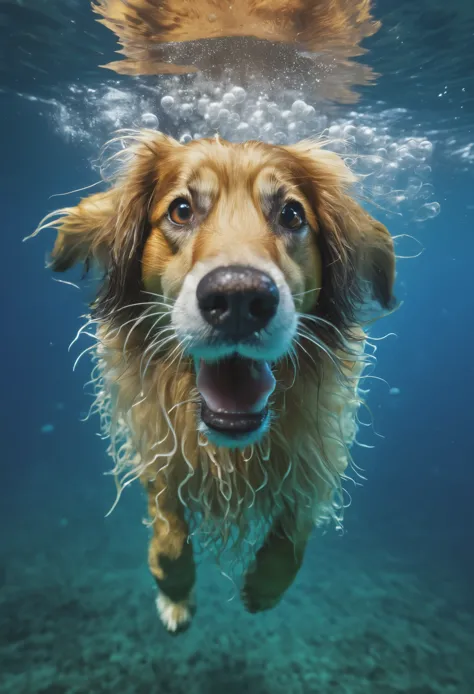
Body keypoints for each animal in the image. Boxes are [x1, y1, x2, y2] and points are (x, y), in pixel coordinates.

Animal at [34, 132, 396, 636]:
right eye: (181, 210)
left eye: (291, 214)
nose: (239, 298)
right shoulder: (156, 443)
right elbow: (168, 529)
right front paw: (174, 595)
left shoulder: (318, 449)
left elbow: (294, 531)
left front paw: (263, 589)